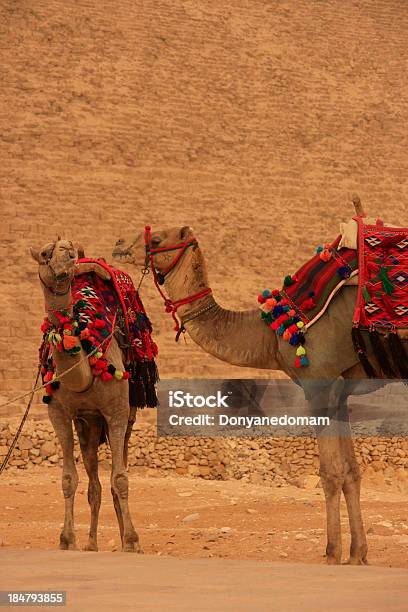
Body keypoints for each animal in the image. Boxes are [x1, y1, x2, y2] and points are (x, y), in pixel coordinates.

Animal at [30, 241, 140, 552]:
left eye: (69, 250)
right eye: (45, 253)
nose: (67, 253)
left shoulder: (117, 410)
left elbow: (121, 479)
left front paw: (131, 541)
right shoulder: (58, 412)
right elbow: (69, 478)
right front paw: (68, 540)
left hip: (126, 416)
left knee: (118, 468)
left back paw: (123, 536)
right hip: (88, 424)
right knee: (95, 483)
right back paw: (92, 543)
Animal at [112, 224, 404, 564]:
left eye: (157, 239)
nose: (119, 245)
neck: (271, 333)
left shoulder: (319, 383)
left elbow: (331, 473)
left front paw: (332, 553)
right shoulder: (339, 391)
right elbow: (351, 473)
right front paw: (358, 554)